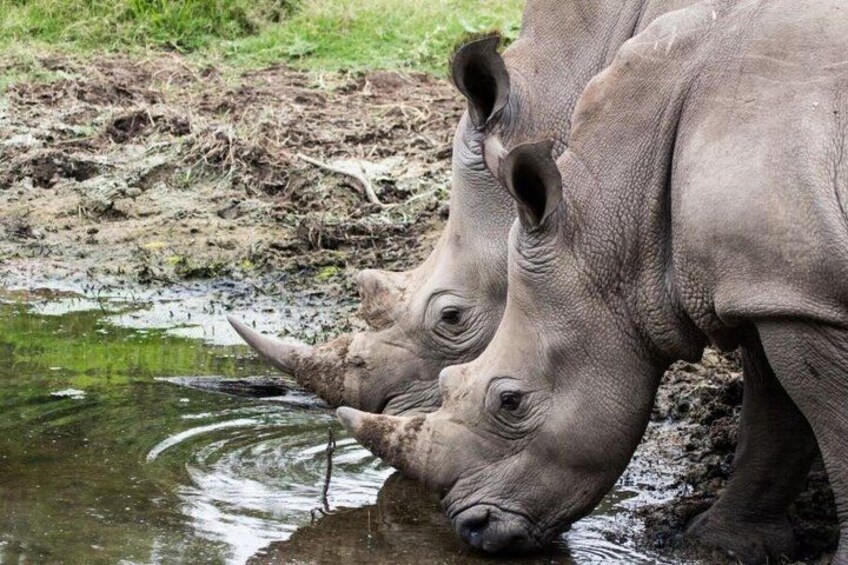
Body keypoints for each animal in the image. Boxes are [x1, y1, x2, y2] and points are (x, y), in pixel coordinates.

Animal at [337, 1, 848, 562]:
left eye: (510, 402)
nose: (473, 528)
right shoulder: (763, 284)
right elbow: (776, 416)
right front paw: (720, 544)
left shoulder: (790, 290)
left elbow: (828, 422)